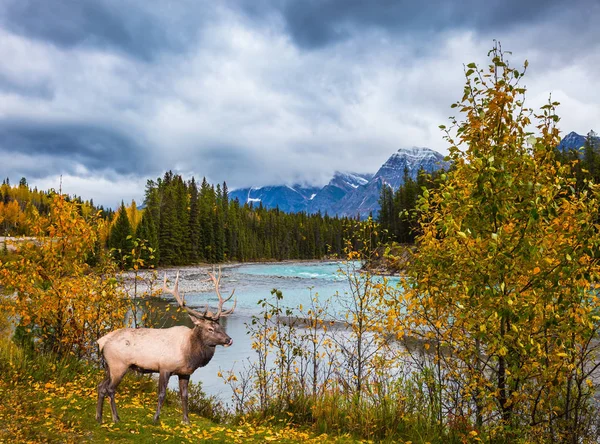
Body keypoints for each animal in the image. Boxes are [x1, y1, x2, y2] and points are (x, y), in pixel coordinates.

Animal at [95, 268, 236, 424]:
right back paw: (115, 418)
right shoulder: (164, 367)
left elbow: (184, 395)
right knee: (110, 389)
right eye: (210, 328)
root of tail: (102, 342)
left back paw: (99, 417)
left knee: (101, 386)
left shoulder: (184, 372)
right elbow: (162, 394)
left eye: (219, 326)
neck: (190, 353)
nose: (229, 340)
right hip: (119, 365)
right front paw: (155, 418)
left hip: (109, 366)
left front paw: (186, 420)